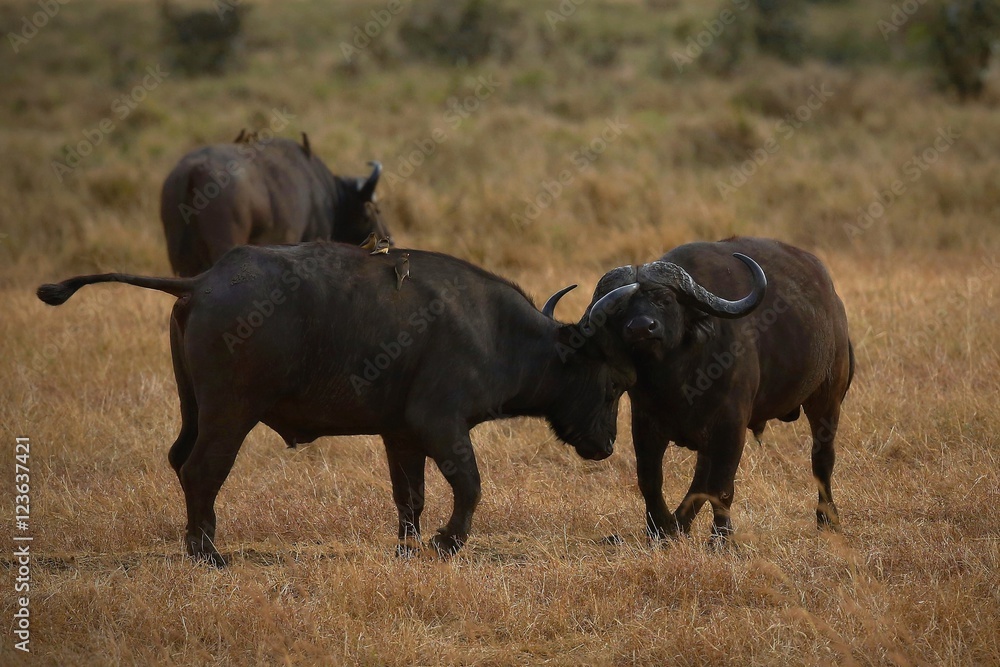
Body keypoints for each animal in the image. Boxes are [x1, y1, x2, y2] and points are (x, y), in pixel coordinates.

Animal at [37, 242, 636, 565]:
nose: (607, 445)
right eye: (612, 384)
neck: (495, 331)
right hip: (231, 413)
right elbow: (469, 484)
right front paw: (448, 543)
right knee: (201, 470)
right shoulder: (440, 425)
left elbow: (410, 497)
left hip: (194, 409)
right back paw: (209, 555)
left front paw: (407, 551)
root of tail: (204, 281)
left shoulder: (401, 435)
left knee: (178, 459)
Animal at [589, 237, 853, 543]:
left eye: (665, 300)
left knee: (822, 459)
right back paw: (679, 523)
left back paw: (827, 519)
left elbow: (722, 487)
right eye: (620, 309)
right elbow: (650, 481)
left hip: (826, 399)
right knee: (700, 478)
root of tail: (833, 303)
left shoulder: (731, 426)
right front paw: (659, 529)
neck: (676, 383)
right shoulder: (644, 423)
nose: (642, 328)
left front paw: (721, 539)